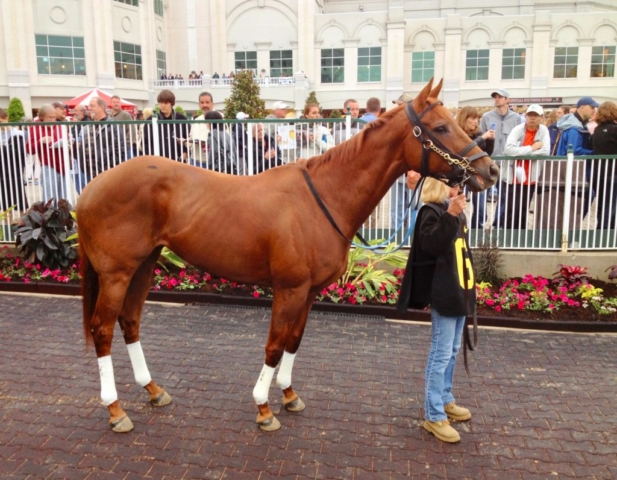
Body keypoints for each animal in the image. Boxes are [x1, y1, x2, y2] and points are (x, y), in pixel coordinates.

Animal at [78, 79, 500, 432]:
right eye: (441, 127)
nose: (490, 169)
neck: (324, 197)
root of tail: (90, 187)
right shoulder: (289, 288)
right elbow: (275, 343)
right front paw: (264, 408)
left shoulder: (309, 291)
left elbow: (294, 340)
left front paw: (289, 395)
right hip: (117, 273)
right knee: (103, 328)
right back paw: (115, 409)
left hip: (145, 265)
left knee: (130, 321)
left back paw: (153, 390)